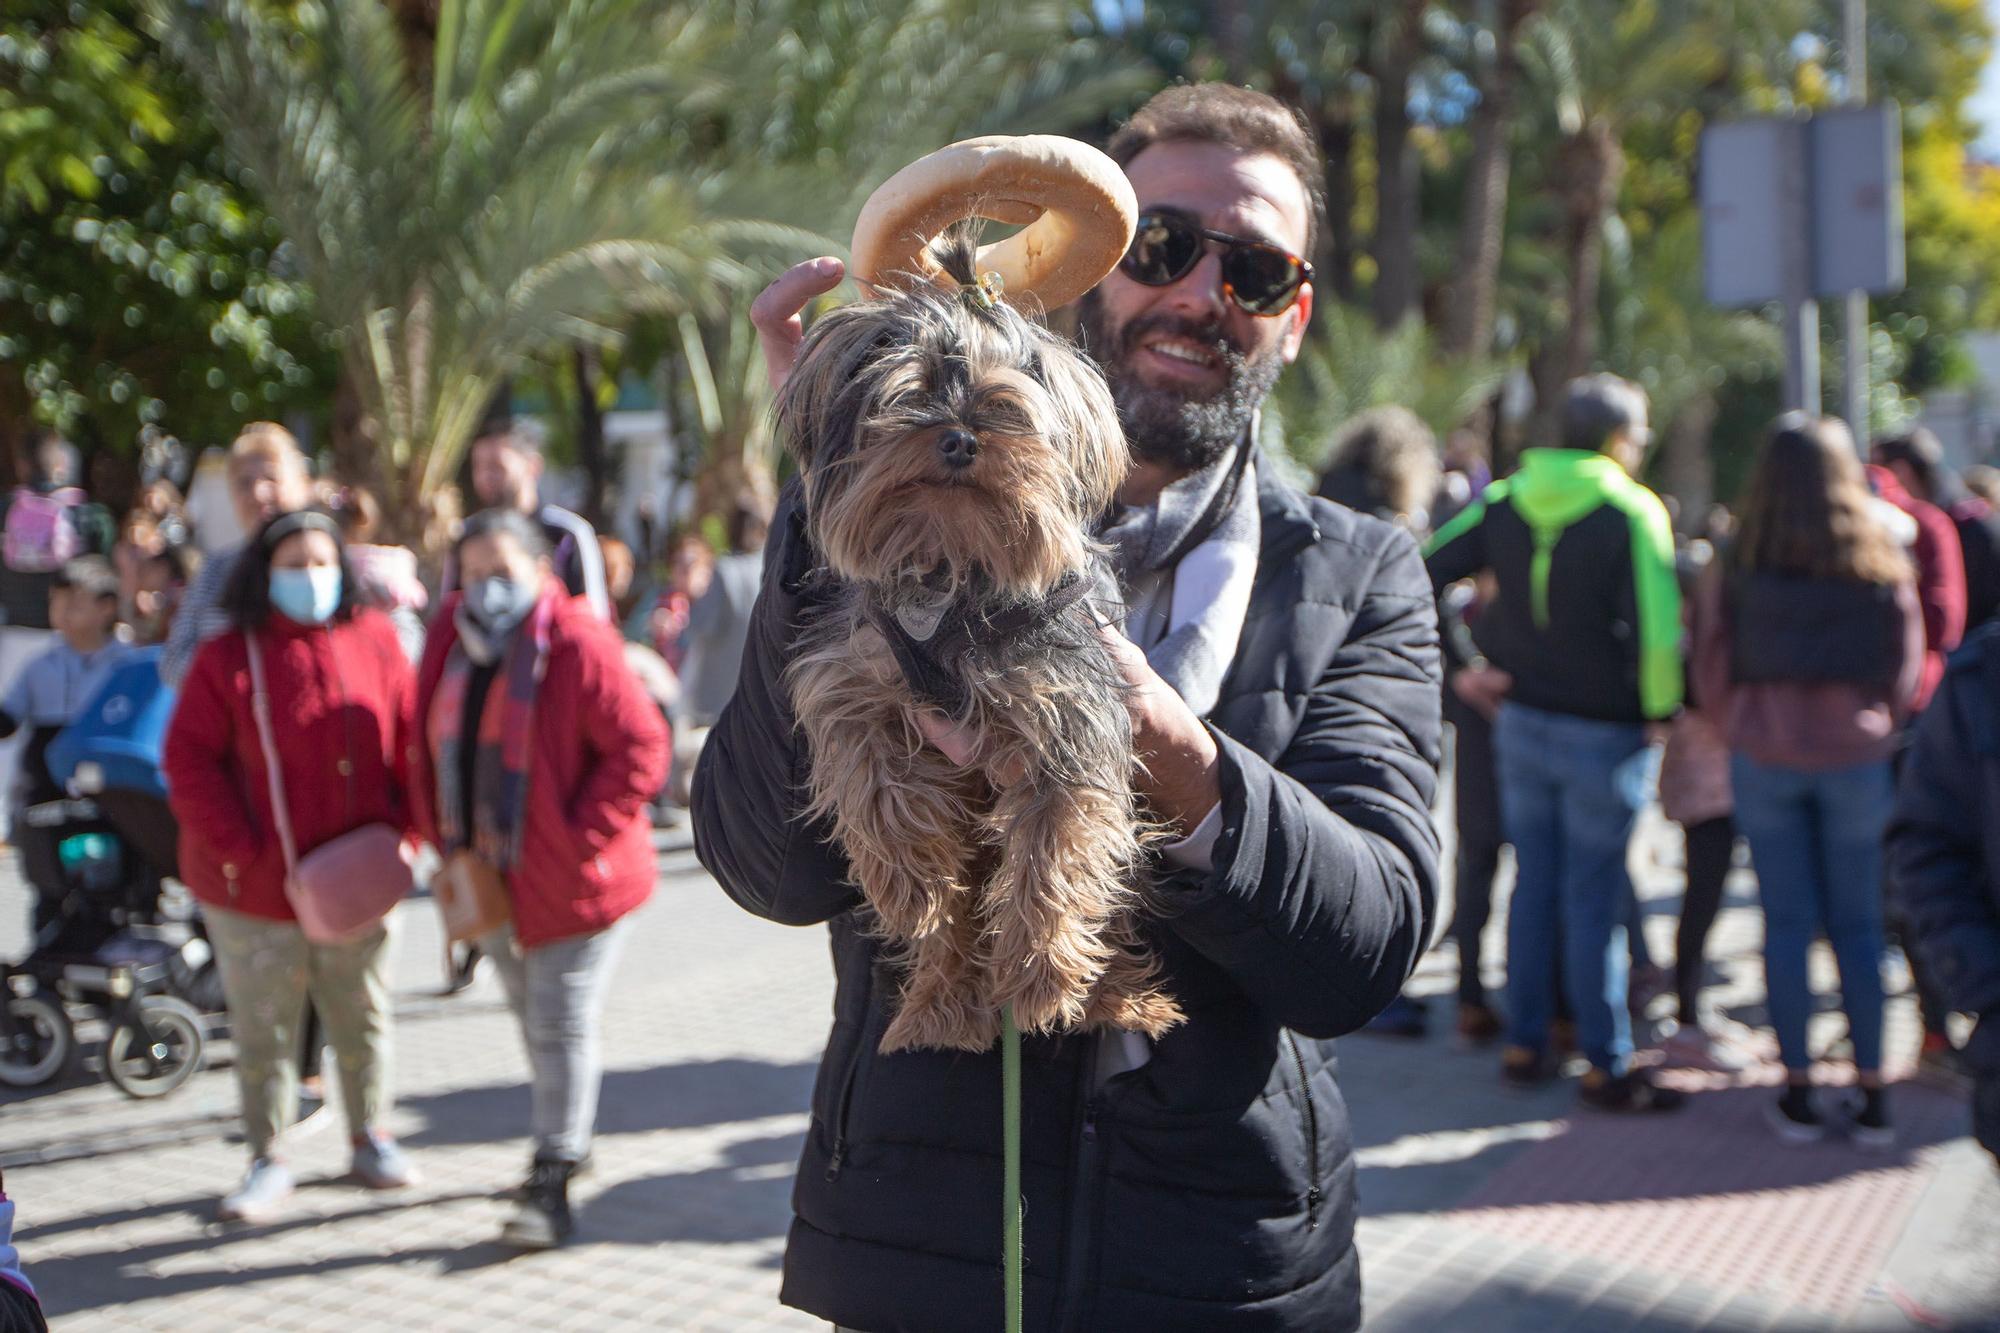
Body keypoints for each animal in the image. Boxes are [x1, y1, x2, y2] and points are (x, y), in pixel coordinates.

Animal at [776, 236, 1184, 1048]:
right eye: (913, 395)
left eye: (1005, 408)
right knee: (953, 934)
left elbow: (1056, 843)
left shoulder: (1069, 713)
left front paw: (1043, 977)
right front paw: (913, 888)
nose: (961, 436)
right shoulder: (853, 682)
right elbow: (875, 789)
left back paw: (1124, 1000)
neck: (951, 573)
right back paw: (940, 1005)